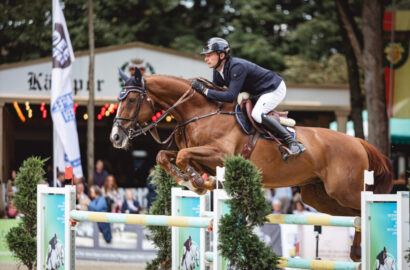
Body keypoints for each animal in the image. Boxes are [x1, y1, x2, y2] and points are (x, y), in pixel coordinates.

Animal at [109, 68, 394, 262]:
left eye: (131, 100)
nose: (115, 137)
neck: (198, 112)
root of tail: (358, 141)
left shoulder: (220, 155)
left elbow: (181, 157)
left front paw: (197, 182)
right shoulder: (195, 153)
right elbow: (165, 156)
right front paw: (191, 181)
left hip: (342, 189)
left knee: (364, 206)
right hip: (319, 196)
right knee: (355, 216)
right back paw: (356, 252)